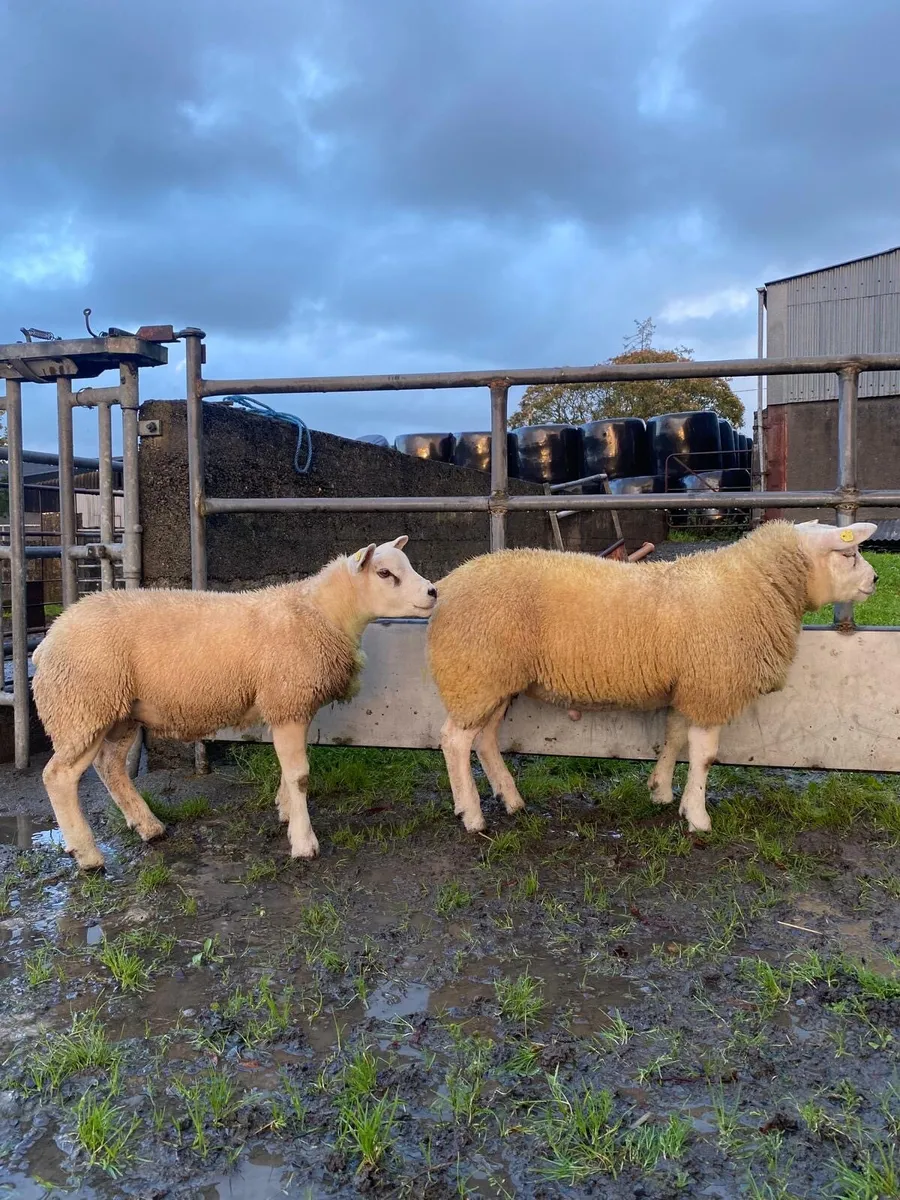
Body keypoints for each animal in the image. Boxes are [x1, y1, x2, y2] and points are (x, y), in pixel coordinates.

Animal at [32, 536, 436, 870]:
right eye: (385, 573)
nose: (433, 592)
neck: (322, 614)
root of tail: (49, 638)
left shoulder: (290, 704)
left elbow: (290, 769)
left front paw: (285, 810)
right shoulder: (287, 699)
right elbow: (300, 774)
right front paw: (303, 842)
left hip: (119, 712)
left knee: (110, 767)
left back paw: (149, 827)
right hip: (82, 705)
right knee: (58, 777)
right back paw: (87, 854)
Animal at [427, 519, 878, 835]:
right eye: (848, 555)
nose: (875, 580)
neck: (754, 587)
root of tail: (446, 584)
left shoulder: (687, 686)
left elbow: (674, 738)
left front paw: (661, 791)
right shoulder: (710, 687)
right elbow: (705, 756)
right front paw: (698, 817)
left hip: (490, 682)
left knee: (484, 739)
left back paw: (511, 799)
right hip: (474, 674)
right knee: (454, 741)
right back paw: (472, 814)